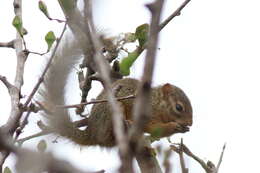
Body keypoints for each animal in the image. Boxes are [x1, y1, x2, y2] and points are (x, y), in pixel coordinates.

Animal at [39, 36, 193, 147]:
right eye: (179, 107)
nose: (190, 123)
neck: (156, 103)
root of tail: (91, 133)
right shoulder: (146, 114)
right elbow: (153, 127)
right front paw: (174, 127)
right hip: (110, 112)